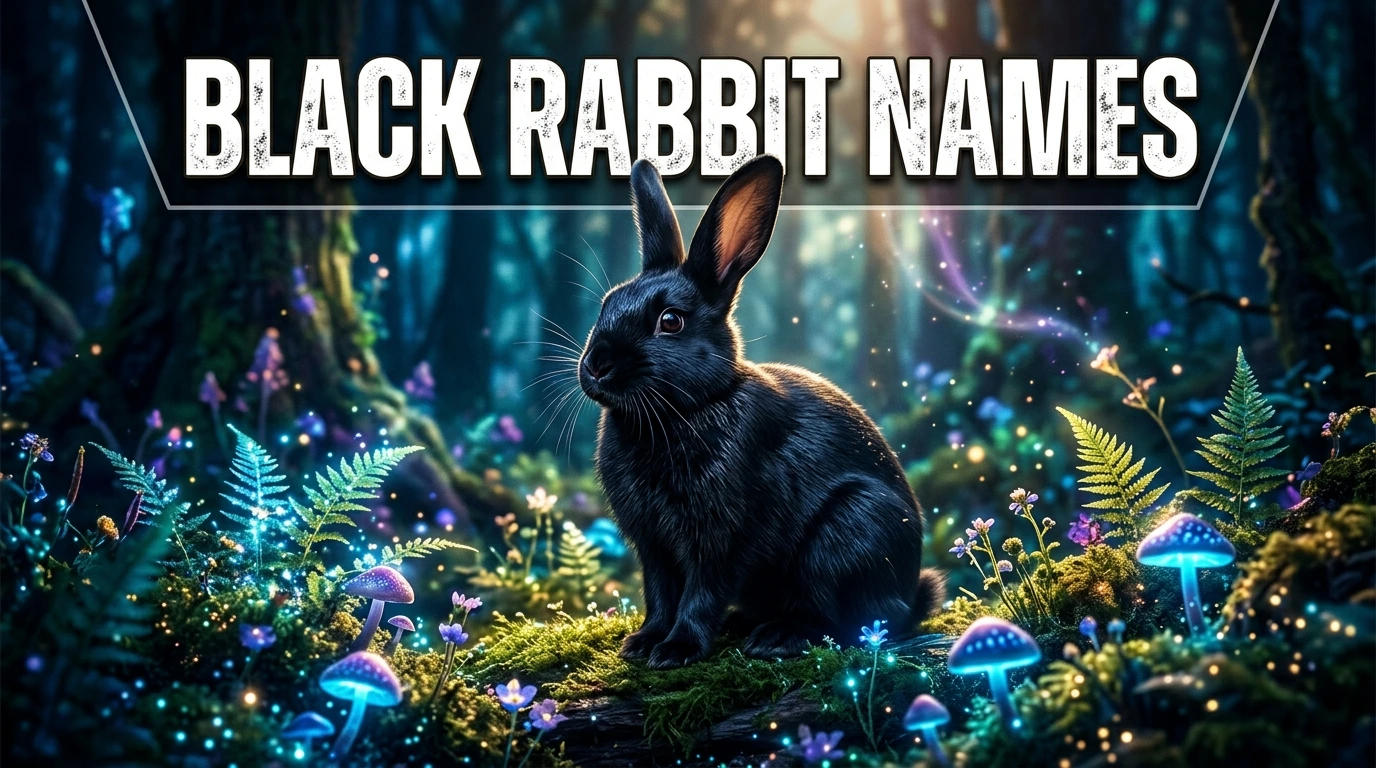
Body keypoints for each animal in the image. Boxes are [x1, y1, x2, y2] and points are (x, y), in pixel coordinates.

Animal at [578, 154, 943, 669]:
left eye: (670, 321)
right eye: (607, 303)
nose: (595, 365)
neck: (683, 410)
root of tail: (909, 597)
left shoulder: (725, 537)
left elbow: (701, 593)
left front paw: (677, 649)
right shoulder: (653, 547)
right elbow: (660, 594)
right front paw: (643, 643)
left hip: (848, 532)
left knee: (844, 622)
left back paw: (778, 637)